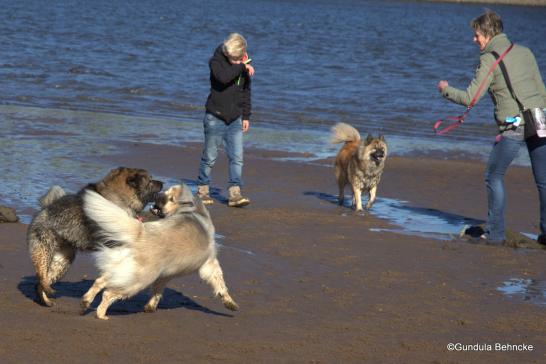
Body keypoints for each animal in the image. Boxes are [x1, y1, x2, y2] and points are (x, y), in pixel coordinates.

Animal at [78, 183, 236, 320]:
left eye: (171, 198)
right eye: (166, 193)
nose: (157, 195)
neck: (193, 212)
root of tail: (141, 233)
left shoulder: (165, 274)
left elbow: (157, 291)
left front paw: (150, 306)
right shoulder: (209, 263)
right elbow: (220, 282)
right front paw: (229, 302)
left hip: (122, 269)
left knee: (99, 281)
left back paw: (85, 302)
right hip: (138, 280)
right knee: (108, 293)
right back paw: (101, 314)